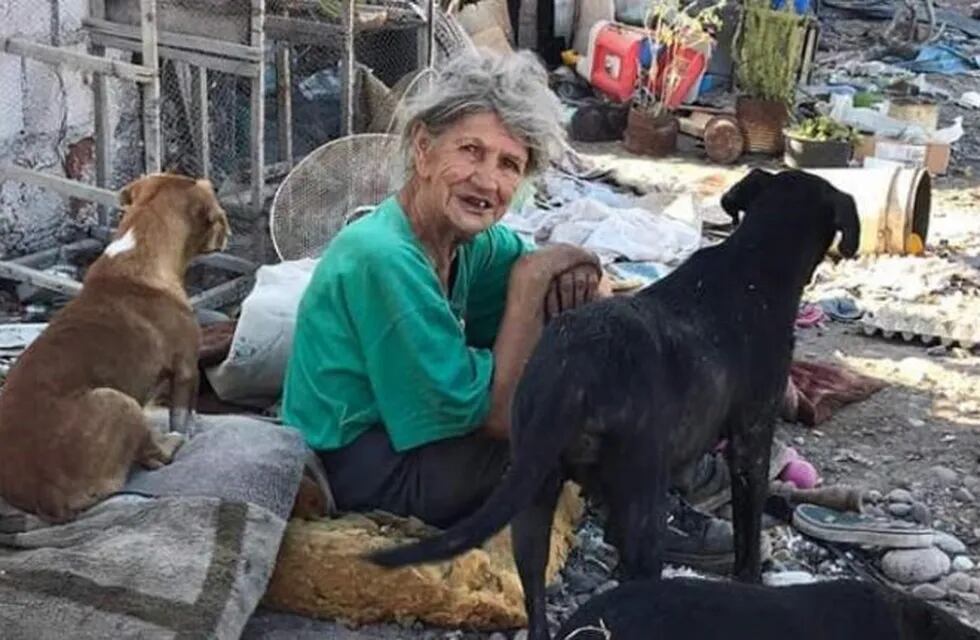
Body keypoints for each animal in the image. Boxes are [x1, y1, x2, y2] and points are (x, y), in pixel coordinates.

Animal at [0, 172, 230, 524]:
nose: (228, 232)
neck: (139, 249)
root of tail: (49, 498)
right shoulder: (186, 368)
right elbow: (181, 413)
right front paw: (187, 430)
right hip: (119, 402)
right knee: (154, 456)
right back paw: (171, 443)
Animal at [368, 170, 856, 640]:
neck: (753, 261)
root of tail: (574, 371)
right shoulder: (751, 438)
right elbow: (748, 536)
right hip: (640, 494)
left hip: (534, 494)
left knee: (538, 595)